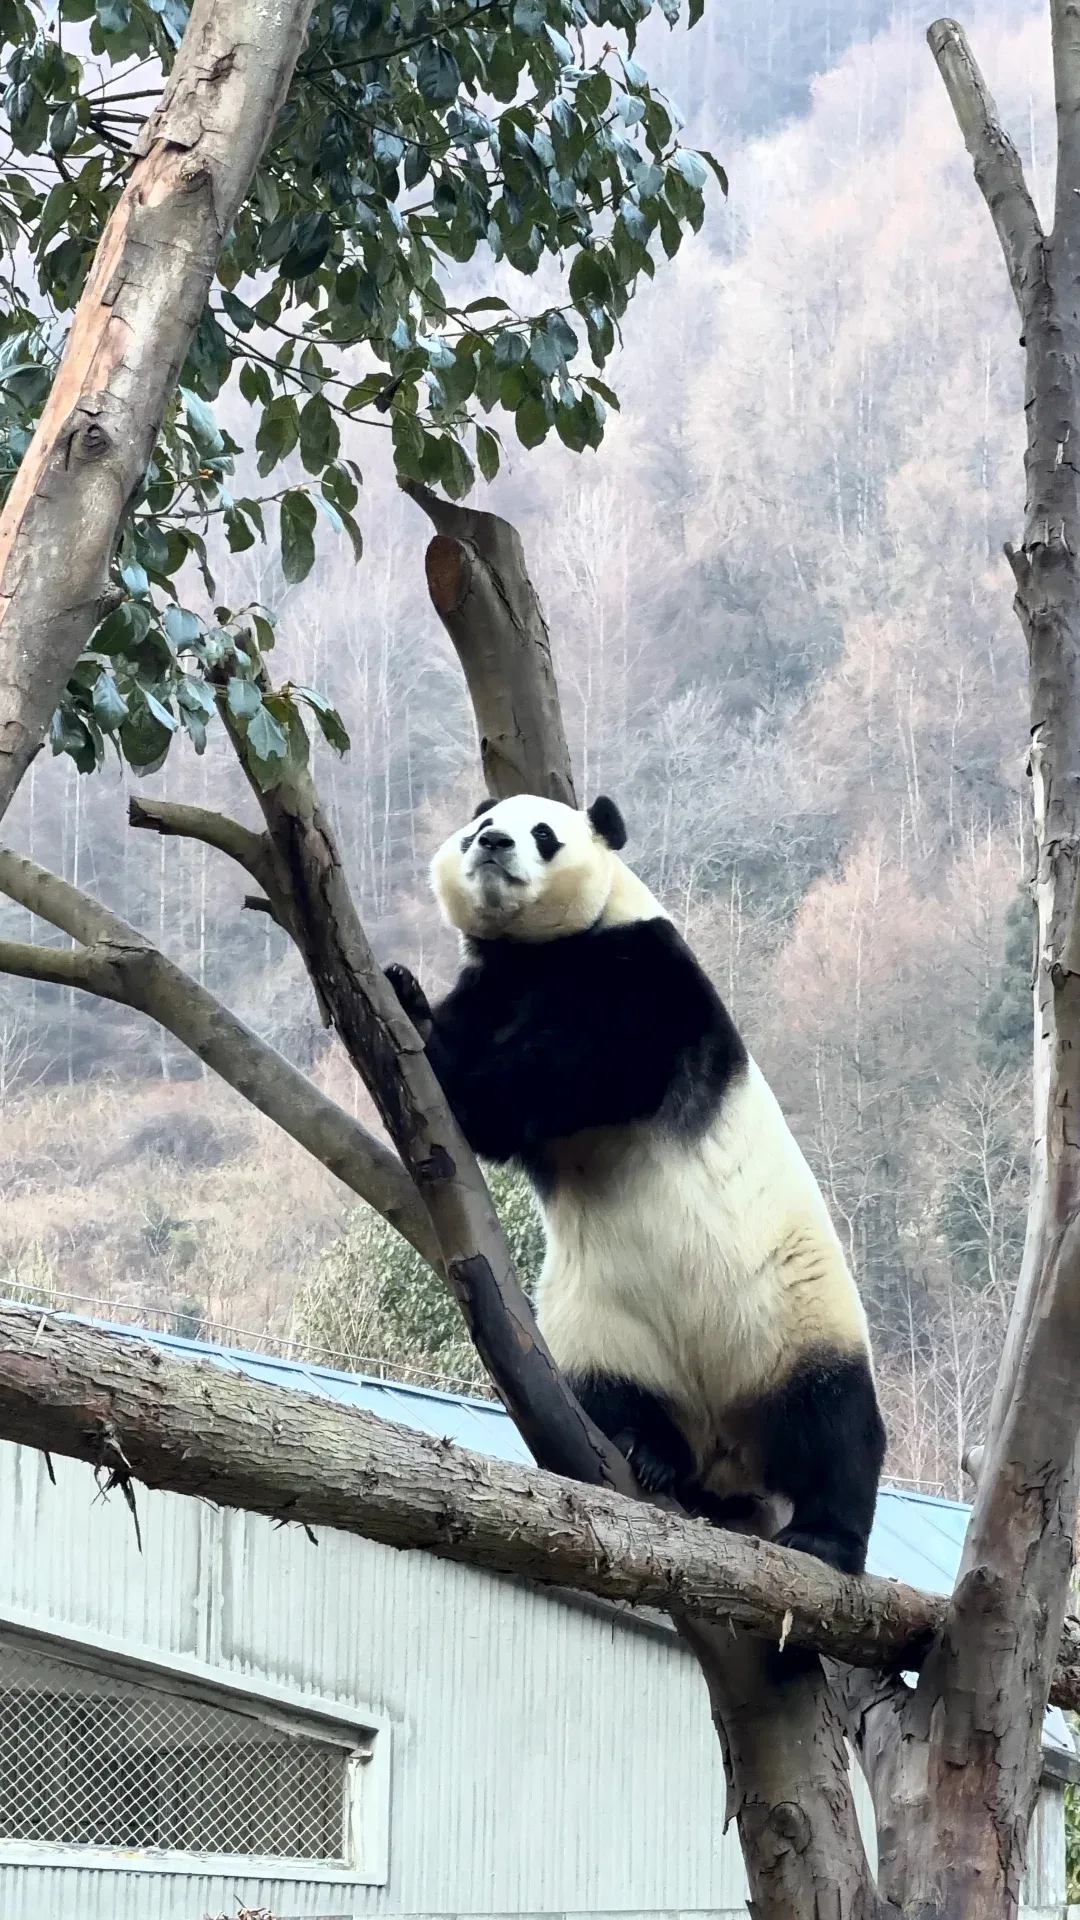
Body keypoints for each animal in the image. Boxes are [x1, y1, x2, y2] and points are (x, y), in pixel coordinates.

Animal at [386, 791, 886, 1577]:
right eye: (479, 827)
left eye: (544, 834)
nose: (494, 844)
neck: (539, 952)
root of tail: (727, 1455)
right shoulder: (494, 984)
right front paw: (410, 1004)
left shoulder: (647, 971)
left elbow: (593, 1064)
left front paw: (439, 1047)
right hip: (603, 1327)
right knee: (611, 1391)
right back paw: (651, 1452)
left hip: (797, 1319)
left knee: (835, 1424)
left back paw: (825, 1537)